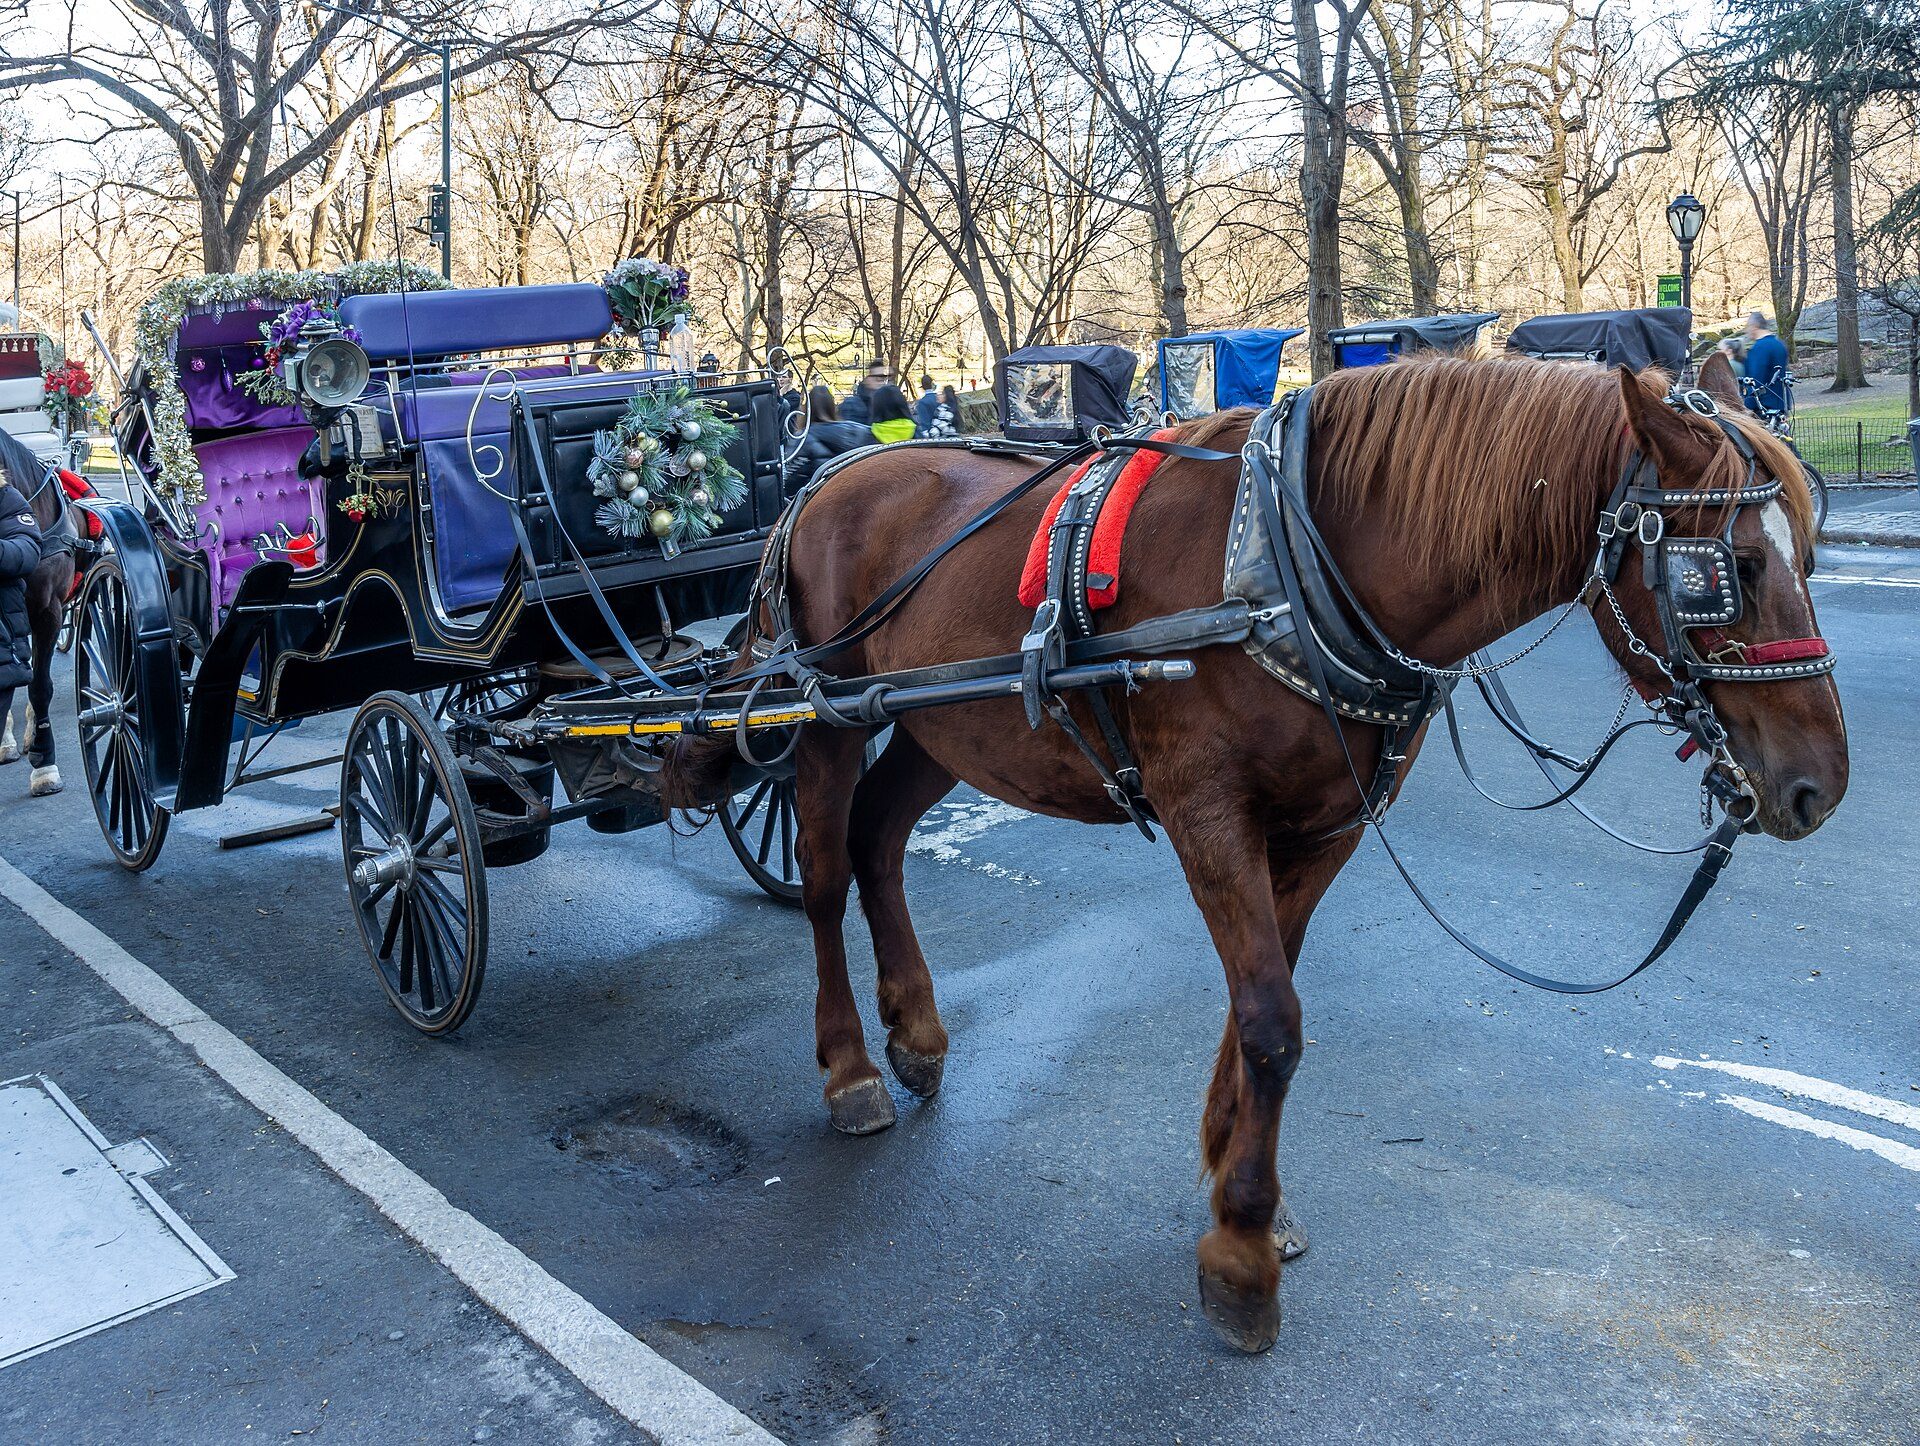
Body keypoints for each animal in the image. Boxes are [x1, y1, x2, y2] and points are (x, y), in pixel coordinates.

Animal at [663, 351, 1847, 1352]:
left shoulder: (1326, 825)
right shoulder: (1207, 812)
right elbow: (1275, 1021)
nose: (1821, 786)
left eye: (1809, 552)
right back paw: (851, 1067)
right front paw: (1239, 1253)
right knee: (824, 875)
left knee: (878, 841)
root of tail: (826, 477)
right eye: (1730, 568)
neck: (1293, 562)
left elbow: (1260, 1000)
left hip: (944, 724)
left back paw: (913, 1031)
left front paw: (1243, 1186)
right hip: (823, 717)